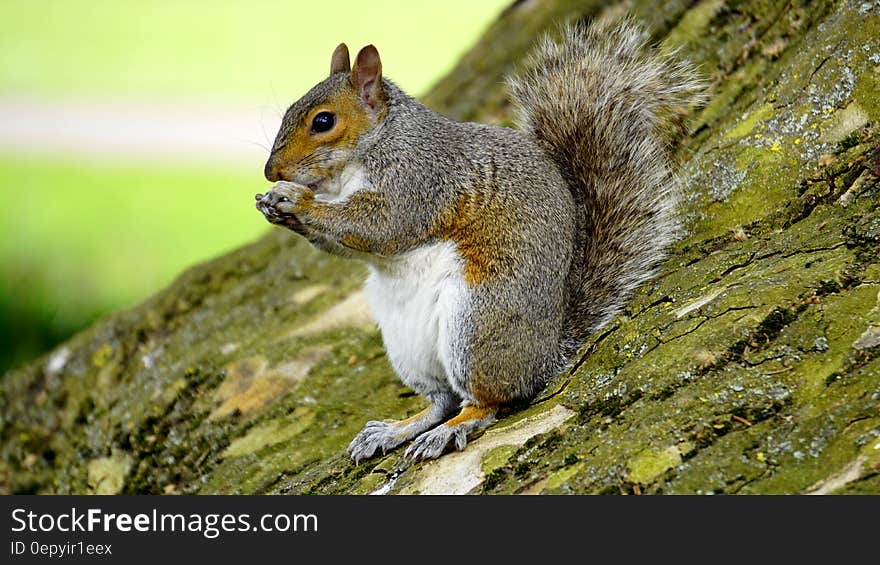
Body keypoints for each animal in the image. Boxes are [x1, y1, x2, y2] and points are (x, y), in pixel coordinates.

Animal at [254, 19, 700, 462]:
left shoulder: (418, 181)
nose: (270, 170)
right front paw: (276, 204)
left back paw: (451, 429)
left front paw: (295, 199)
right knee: (442, 400)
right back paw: (396, 430)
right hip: (408, 348)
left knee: (488, 401)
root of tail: (545, 356)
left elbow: (379, 226)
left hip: (475, 324)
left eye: (323, 122)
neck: (376, 143)